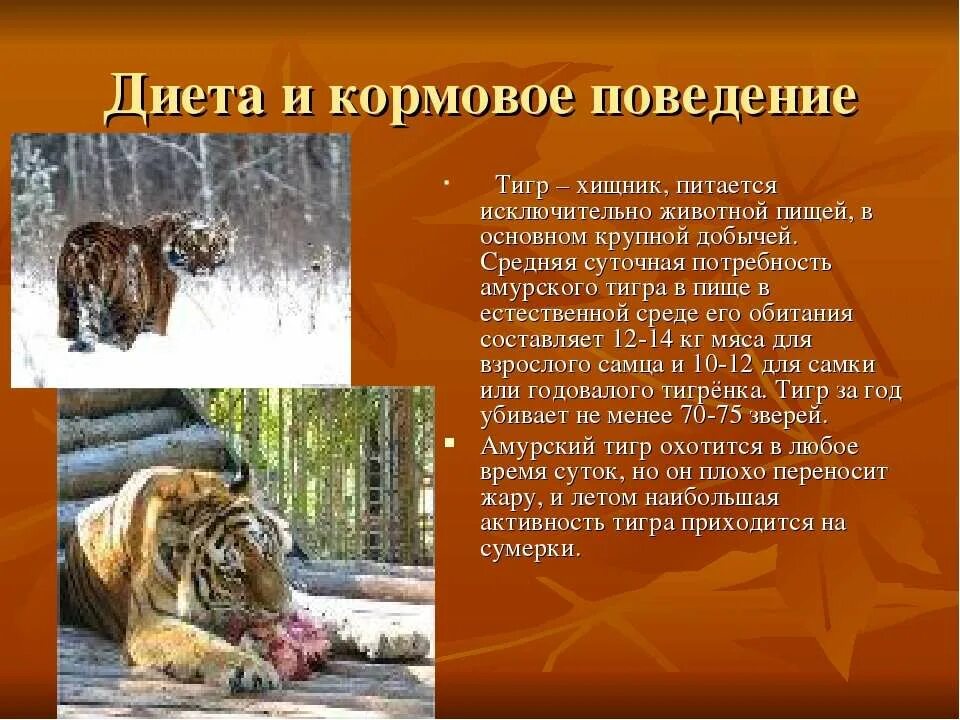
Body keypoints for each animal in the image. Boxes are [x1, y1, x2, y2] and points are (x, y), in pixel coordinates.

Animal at [63, 464, 292, 693]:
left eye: (267, 552)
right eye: (233, 573)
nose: (281, 610)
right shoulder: (149, 620)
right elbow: (199, 641)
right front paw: (249, 666)